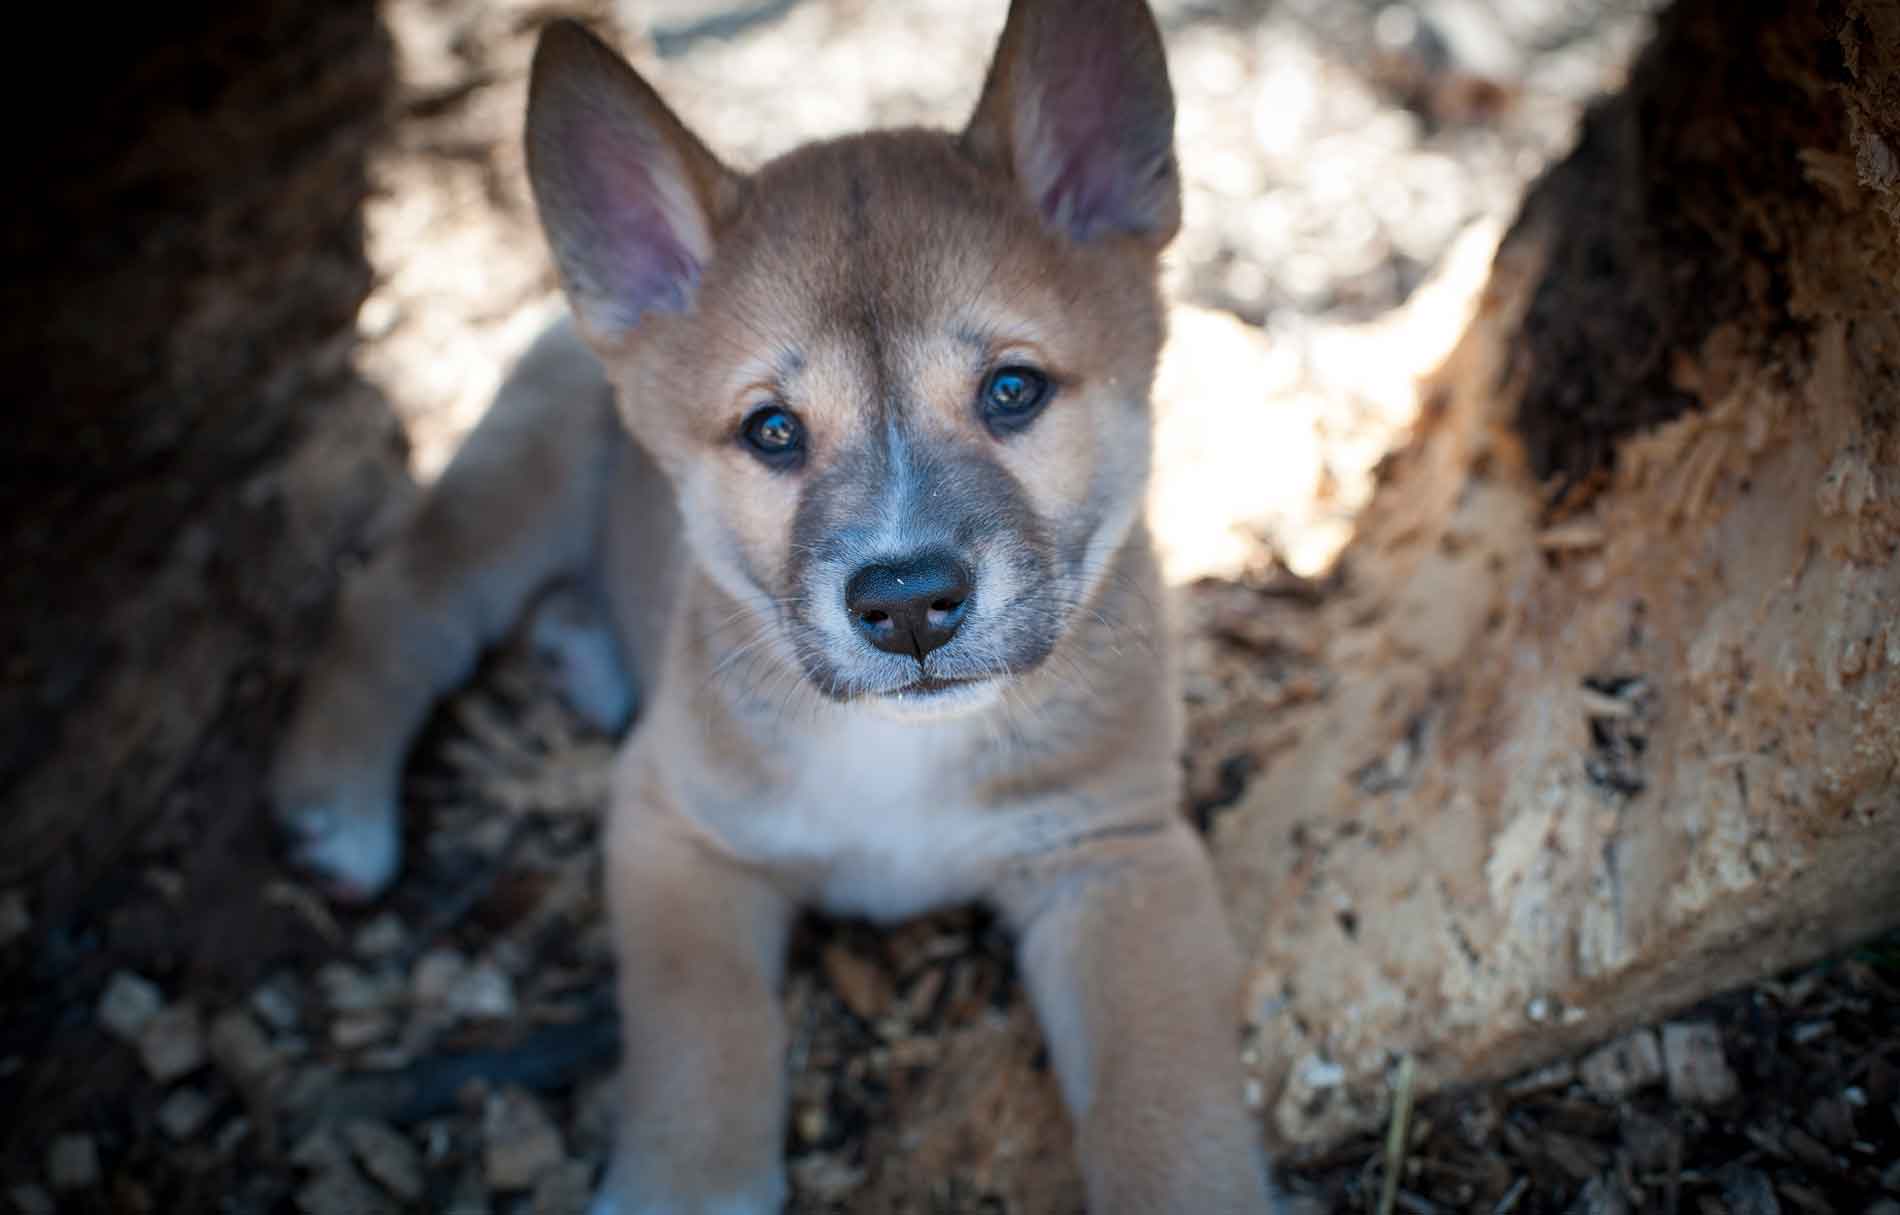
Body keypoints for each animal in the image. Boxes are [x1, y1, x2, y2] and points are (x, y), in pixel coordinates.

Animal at [271, 4, 1276, 1209]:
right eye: (772, 430)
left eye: (1013, 390)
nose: (909, 605)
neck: (897, 757)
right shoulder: (673, 827)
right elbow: (702, 1041)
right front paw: (687, 1180)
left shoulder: (1118, 856)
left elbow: (1166, 1109)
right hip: (520, 480)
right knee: (398, 600)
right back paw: (336, 806)